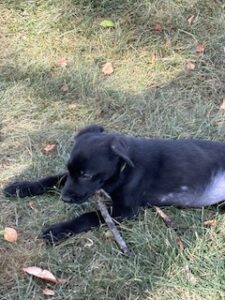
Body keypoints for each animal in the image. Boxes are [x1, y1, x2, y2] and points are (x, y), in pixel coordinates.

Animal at [3, 125, 225, 243]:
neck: (123, 169)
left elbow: (90, 215)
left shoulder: (124, 211)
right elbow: (53, 179)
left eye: (87, 175)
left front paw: (58, 230)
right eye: (71, 169)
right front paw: (20, 187)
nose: (64, 198)